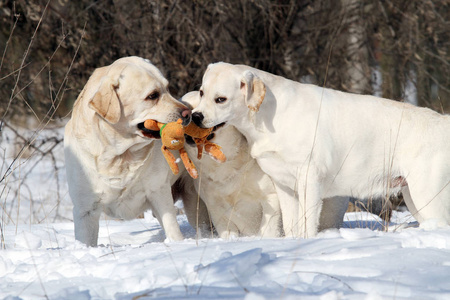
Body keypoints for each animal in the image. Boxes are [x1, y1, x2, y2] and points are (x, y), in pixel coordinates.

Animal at [64, 56, 191, 246]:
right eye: (152, 96)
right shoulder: (85, 208)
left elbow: (172, 229)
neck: (120, 156)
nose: (189, 113)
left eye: (167, 88)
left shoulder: (158, 192)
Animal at [192, 62, 450, 238]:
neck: (270, 116)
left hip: (427, 194)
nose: (195, 116)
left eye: (221, 99)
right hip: (416, 198)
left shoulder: (309, 179)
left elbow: (307, 224)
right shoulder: (284, 185)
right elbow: (291, 225)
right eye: (202, 93)